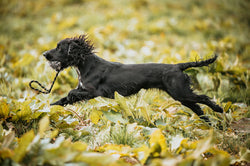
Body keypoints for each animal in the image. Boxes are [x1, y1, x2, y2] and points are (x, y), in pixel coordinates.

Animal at [43, 34, 223, 122]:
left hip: (181, 92)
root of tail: (178, 66)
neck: (87, 65)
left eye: (59, 47)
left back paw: (219, 110)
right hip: (181, 96)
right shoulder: (84, 91)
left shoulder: (92, 92)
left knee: (204, 98)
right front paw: (48, 108)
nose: (44, 54)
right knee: (198, 108)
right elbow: (63, 99)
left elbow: (71, 93)